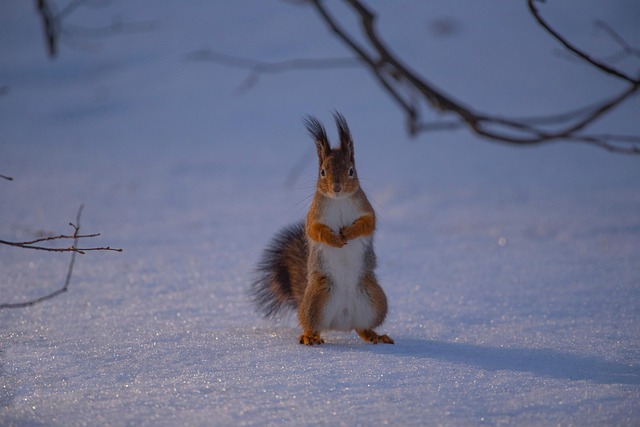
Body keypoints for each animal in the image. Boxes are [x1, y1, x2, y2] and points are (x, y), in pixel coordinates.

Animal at [251, 112, 393, 346]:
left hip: (374, 299)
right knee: (312, 325)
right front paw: (333, 239)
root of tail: (342, 322)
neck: (339, 200)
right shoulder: (314, 215)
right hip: (316, 301)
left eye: (351, 171)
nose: (336, 187)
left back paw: (376, 336)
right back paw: (310, 337)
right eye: (322, 172)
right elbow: (314, 230)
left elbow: (368, 224)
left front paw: (350, 232)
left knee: (362, 327)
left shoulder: (366, 210)